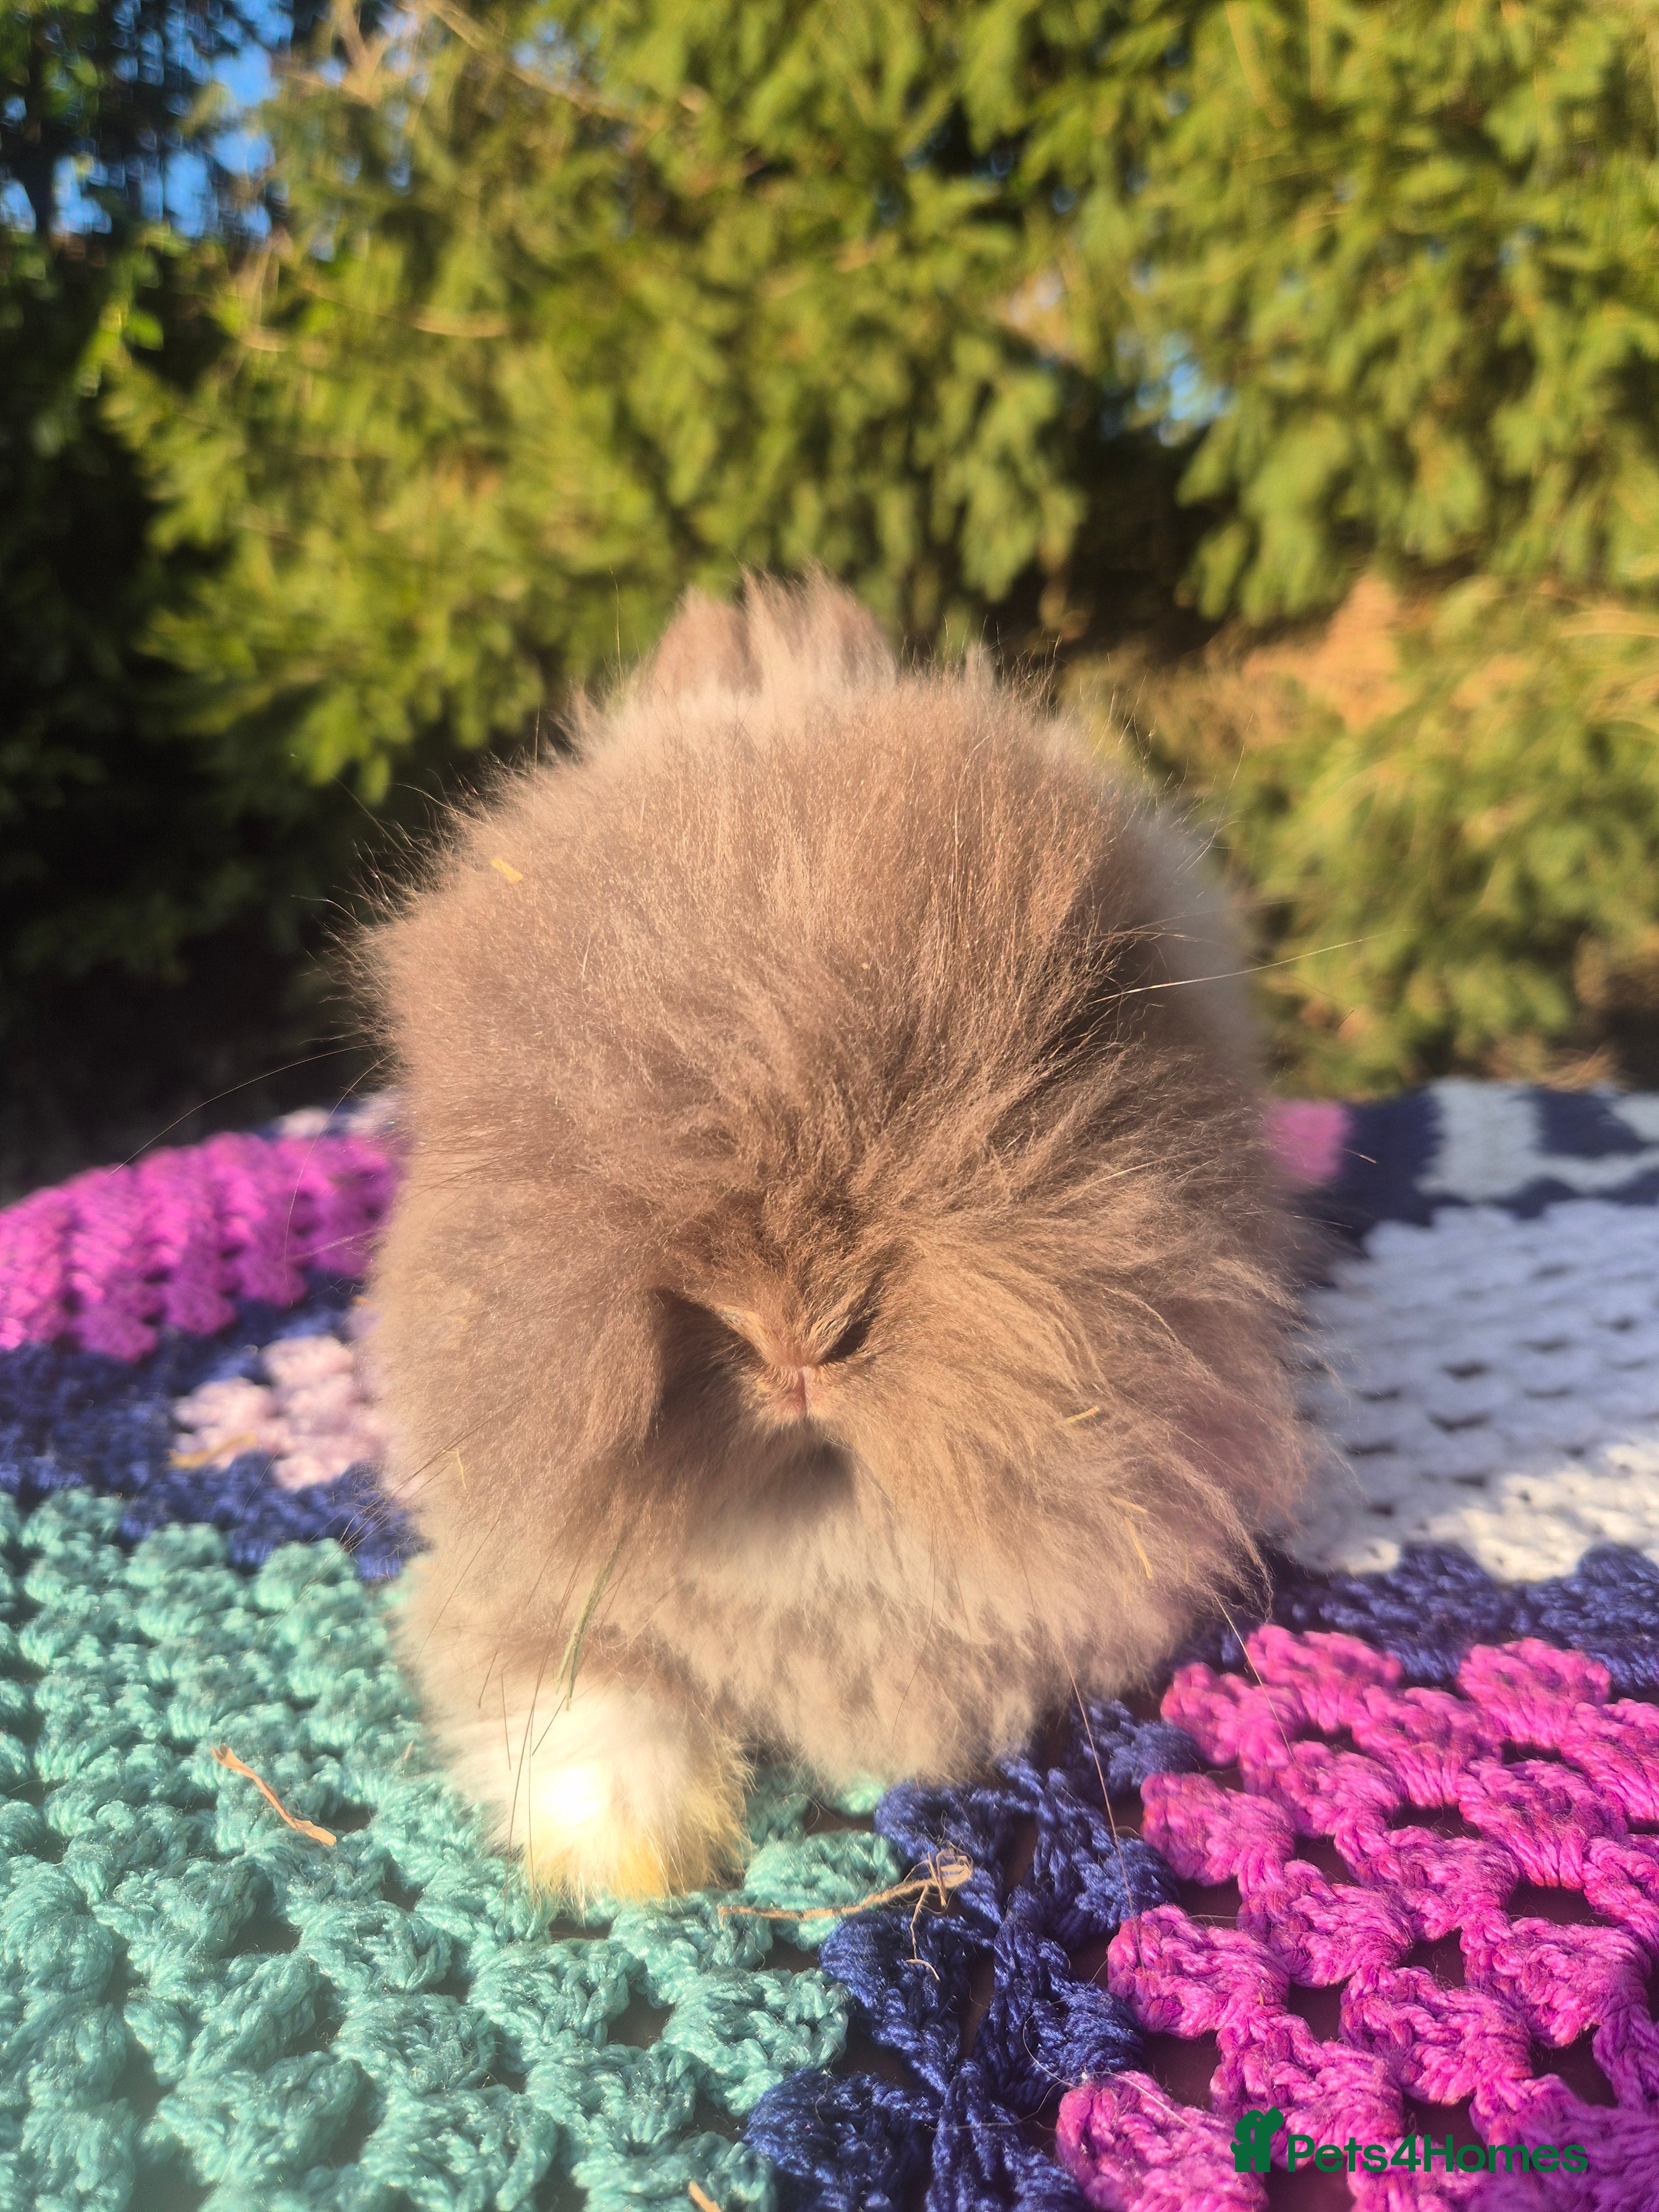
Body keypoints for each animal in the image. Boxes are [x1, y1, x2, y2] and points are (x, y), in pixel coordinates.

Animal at [365, 573, 1310, 1902]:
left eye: (1066, 1044)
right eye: (537, 1081)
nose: (793, 1336)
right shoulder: (500, 1595)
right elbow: (585, 1697)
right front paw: (629, 1859)